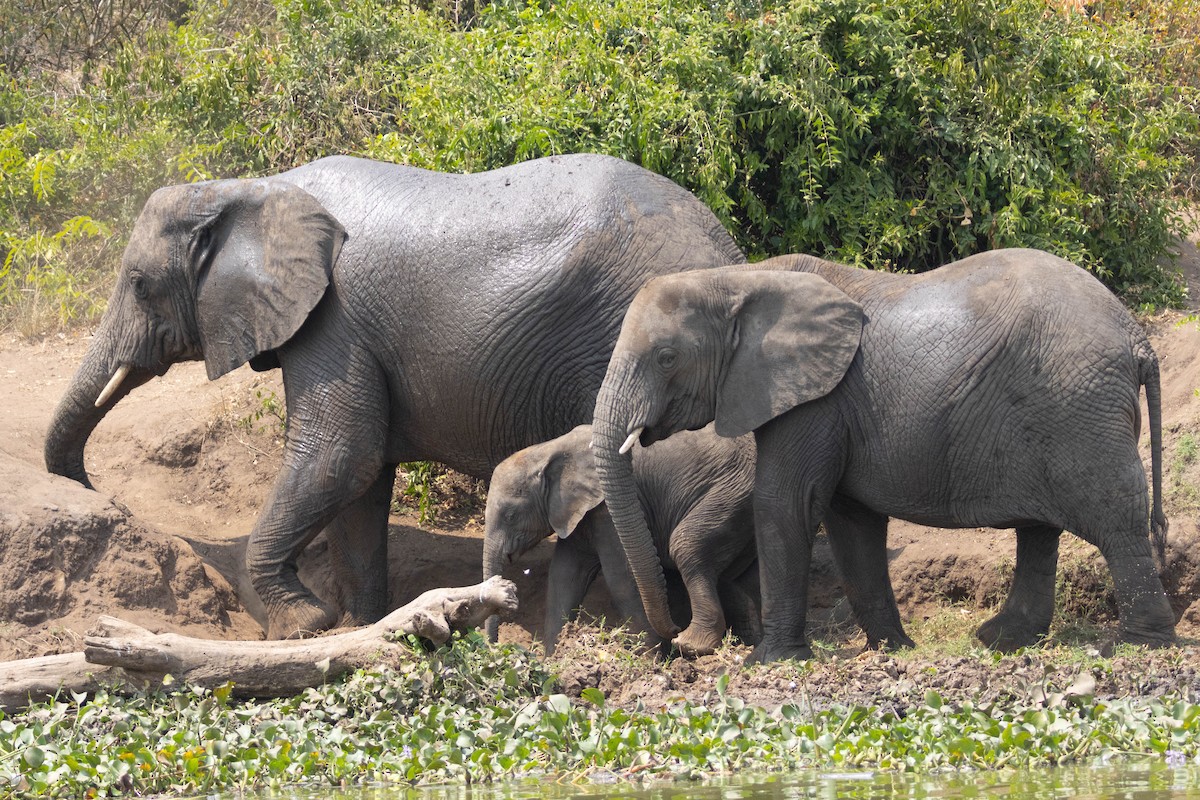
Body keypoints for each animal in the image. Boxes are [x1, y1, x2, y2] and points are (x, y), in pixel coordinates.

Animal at [43, 153, 745, 639]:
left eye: (139, 284)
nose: (98, 490)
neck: (253, 187)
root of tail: (730, 246)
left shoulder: (335, 319)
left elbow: (338, 456)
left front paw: (302, 626)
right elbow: (361, 482)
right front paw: (361, 626)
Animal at [482, 423, 760, 655]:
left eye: (510, 515)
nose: (494, 646)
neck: (546, 450)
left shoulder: (607, 512)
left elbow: (622, 580)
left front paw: (648, 661)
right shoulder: (576, 515)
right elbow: (564, 579)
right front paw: (553, 659)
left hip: (732, 493)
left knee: (687, 547)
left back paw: (692, 644)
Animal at [591, 249, 1177, 664]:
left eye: (666, 358)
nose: (674, 640)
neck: (736, 278)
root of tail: (1136, 336)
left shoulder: (815, 400)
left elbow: (785, 504)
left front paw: (769, 661)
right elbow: (850, 521)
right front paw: (892, 650)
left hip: (1079, 408)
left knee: (1114, 517)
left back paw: (1137, 646)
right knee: (1039, 530)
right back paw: (998, 641)